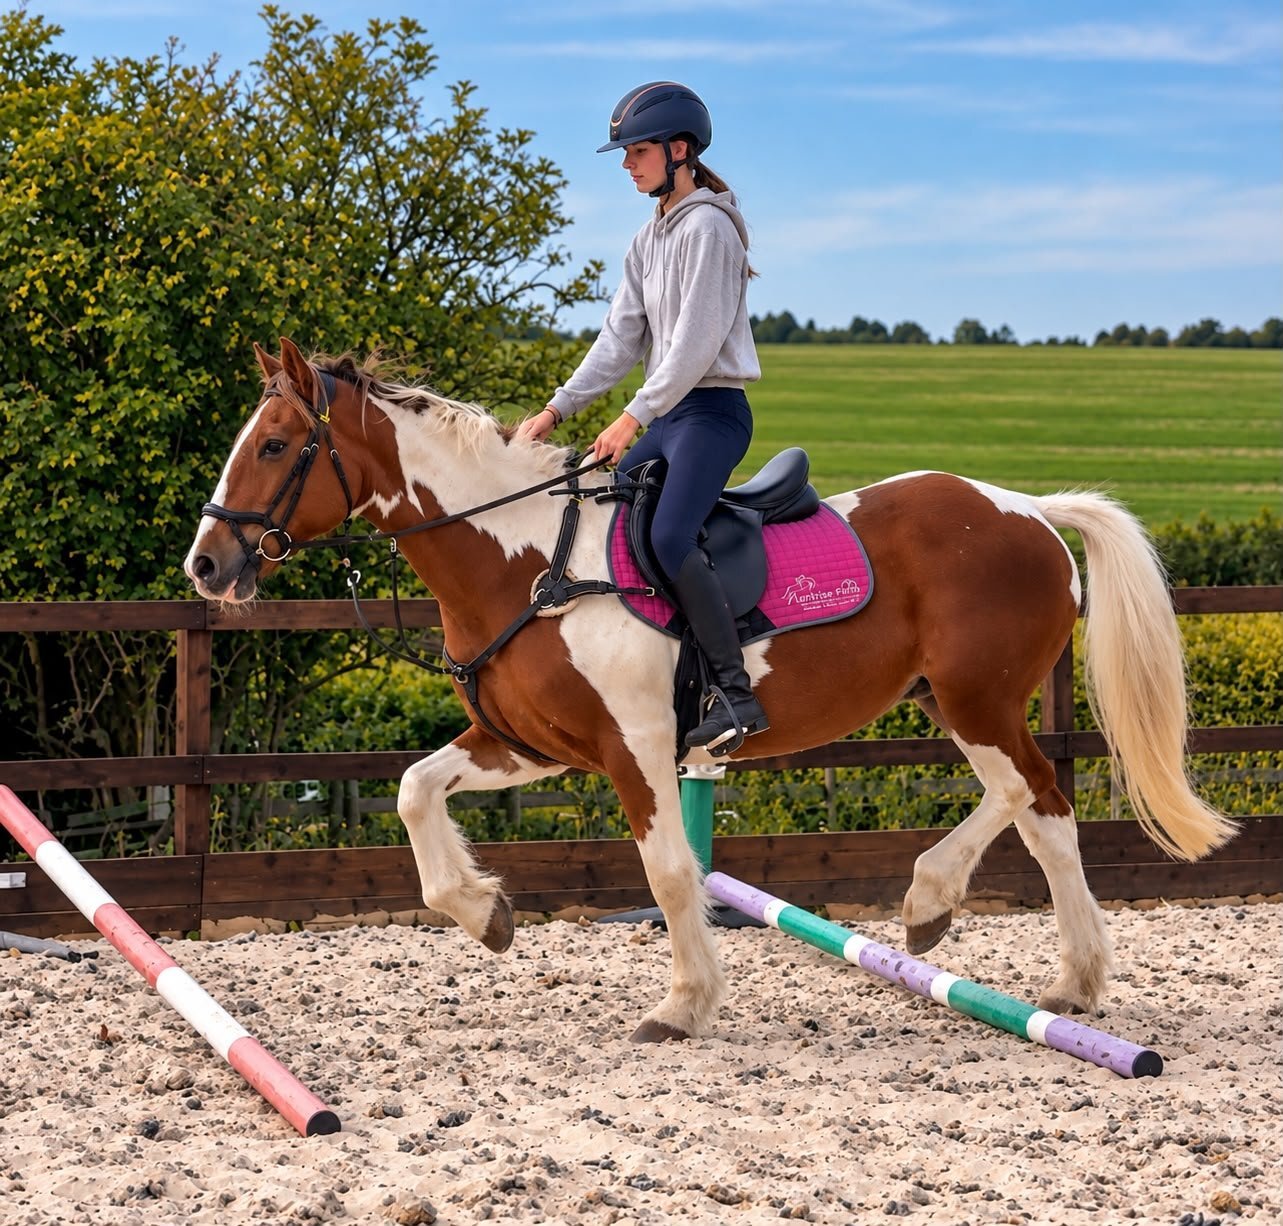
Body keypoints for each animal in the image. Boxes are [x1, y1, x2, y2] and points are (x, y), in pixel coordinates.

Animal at [184, 337, 1237, 1043]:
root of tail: (1025, 509)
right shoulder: (528, 745)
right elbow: (412, 791)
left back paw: (931, 903)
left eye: (275, 445)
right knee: (1046, 810)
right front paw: (485, 914)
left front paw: (684, 1004)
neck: (527, 562)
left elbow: (666, 870)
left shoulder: (638, 752)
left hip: (977, 701)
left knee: (1025, 790)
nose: (206, 566)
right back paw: (1073, 985)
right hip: (950, 702)